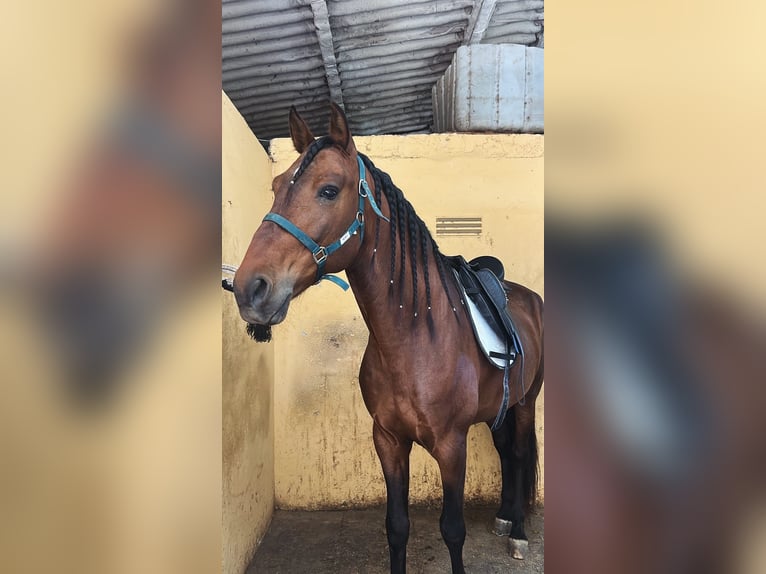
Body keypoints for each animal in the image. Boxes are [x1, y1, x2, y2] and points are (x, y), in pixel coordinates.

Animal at [233, 103, 544, 574]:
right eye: (274, 187)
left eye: (328, 190)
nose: (249, 288)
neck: (414, 338)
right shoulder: (388, 440)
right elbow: (396, 527)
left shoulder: (451, 445)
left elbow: (453, 530)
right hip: (501, 408)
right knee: (507, 454)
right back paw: (506, 519)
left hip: (526, 402)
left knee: (521, 455)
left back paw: (520, 534)